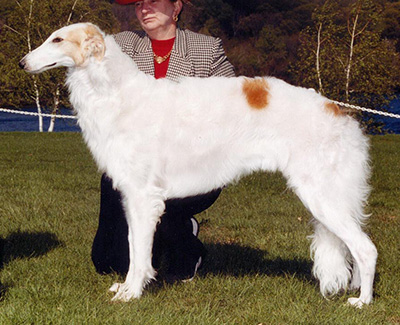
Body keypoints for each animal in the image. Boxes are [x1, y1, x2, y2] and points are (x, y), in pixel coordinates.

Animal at [20, 23, 378, 306]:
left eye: (57, 39)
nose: (22, 62)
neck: (115, 91)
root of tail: (340, 113)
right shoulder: (133, 197)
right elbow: (135, 248)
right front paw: (125, 288)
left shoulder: (143, 197)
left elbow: (139, 255)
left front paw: (131, 294)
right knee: (356, 248)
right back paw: (357, 289)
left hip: (321, 195)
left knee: (366, 249)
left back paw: (362, 301)